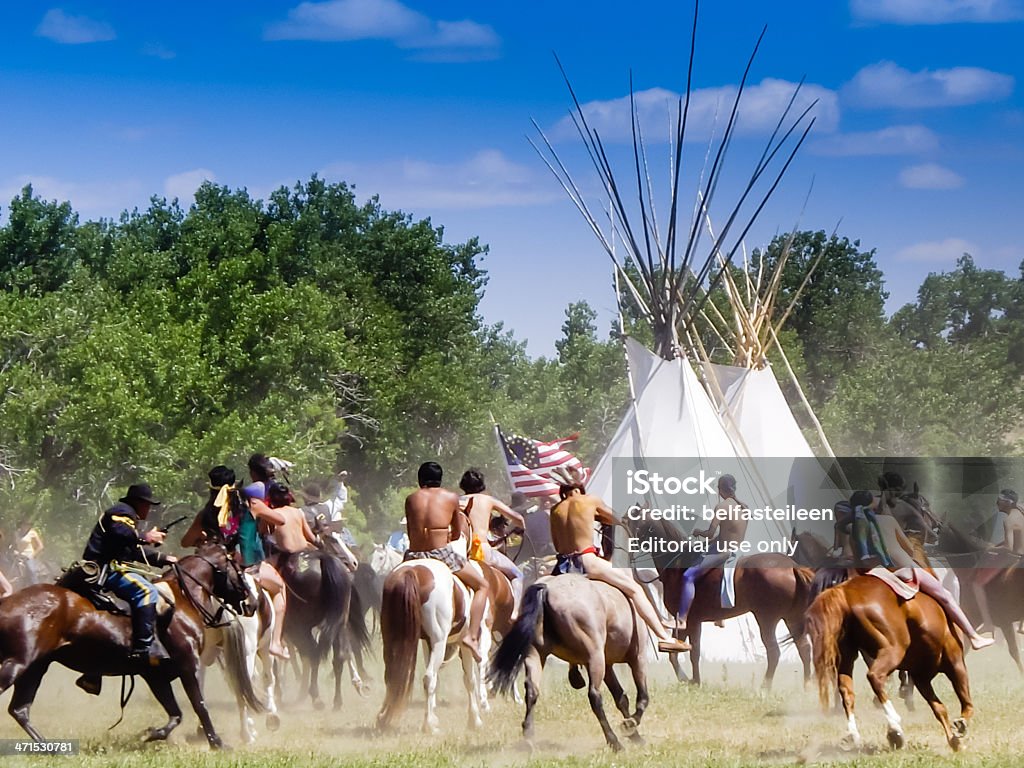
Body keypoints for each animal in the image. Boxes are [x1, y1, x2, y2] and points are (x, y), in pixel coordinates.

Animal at [0, 544, 253, 749]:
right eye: (239, 568)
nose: (251, 603)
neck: (180, 601)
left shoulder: (155, 675)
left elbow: (175, 713)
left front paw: (153, 733)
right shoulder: (189, 665)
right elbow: (199, 704)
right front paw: (217, 743)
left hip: (35, 668)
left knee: (20, 710)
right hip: (17, 664)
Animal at [378, 561, 485, 733]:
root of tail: (412, 571)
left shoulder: (427, 643)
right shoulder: (463, 644)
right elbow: (469, 680)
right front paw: (474, 720)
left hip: (391, 639)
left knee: (391, 677)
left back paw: (383, 719)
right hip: (439, 642)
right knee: (428, 678)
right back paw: (428, 726)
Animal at [487, 577, 647, 753]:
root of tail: (546, 588)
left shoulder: (609, 666)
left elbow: (621, 698)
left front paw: (634, 735)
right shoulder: (637, 658)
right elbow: (642, 697)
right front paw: (631, 724)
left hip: (536, 654)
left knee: (532, 691)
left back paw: (529, 738)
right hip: (595, 657)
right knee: (594, 696)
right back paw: (614, 742)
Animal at [802, 577, 970, 753]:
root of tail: (845, 592)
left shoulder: (921, 677)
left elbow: (939, 709)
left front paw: (955, 741)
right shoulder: (955, 663)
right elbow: (965, 700)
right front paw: (961, 726)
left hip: (847, 656)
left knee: (846, 692)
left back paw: (855, 734)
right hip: (892, 649)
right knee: (874, 676)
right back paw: (894, 726)